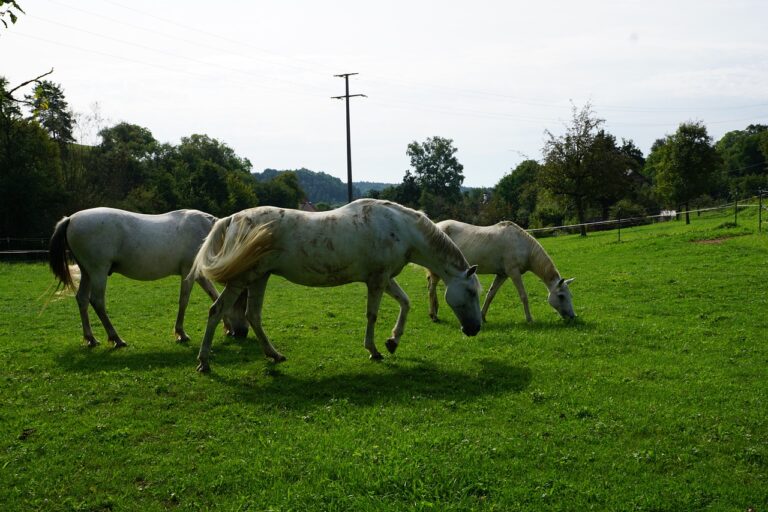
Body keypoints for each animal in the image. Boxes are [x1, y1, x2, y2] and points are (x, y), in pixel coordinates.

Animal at [49, 208, 248, 348]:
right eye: (244, 303)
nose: (243, 333)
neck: (205, 232)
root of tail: (70, 219)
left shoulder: (198, 274)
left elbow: (215, 296)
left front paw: (227, 327)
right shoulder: (188, 273)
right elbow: (184, 301)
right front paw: (181, 333)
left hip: (87, 273)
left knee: (82, 299)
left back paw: (91, 338)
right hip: (98, 271)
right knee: (97, 301)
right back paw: (116, 338)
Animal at [190, 197, 480, 372]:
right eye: (471, 291)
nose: (474, 329)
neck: (400, 227)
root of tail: (231, 219)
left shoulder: (384, 278)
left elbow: (406, 303)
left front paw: (392, 341)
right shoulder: (377, 280)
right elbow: (372, 315)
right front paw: (374, 350)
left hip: (259, 277)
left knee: (253, 316)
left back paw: (274, 355)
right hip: (243, 279)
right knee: (217, 311)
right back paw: (204, 362)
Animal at [426, 220, 576, 324]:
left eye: (570, 295)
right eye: (561, 296)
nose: (573, 316)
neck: (522, 244)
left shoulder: (502, 275)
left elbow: (490, 295)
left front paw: (482, 316)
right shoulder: (513, 272)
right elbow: (523, 296)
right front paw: (529, 319)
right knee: (432, 290)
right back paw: (433, 316)